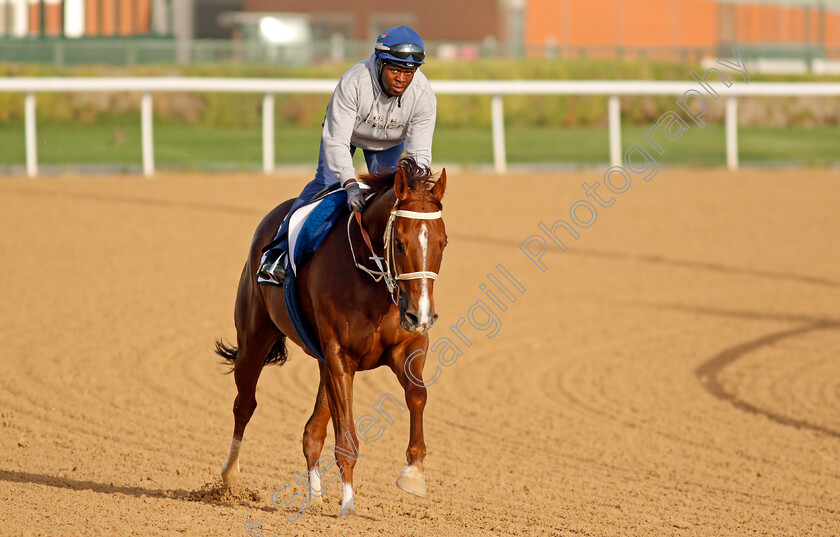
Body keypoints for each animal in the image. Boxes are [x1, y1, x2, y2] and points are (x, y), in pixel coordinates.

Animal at [217, 158, 450, 516]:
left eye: (443, 243)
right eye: (399, 243)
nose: (421, 315)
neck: (373, 281)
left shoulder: (406, 346)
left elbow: (417, 395)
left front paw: (413, 472)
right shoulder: (341, 356)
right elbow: (347, 436)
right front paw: (349, 503)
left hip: (321, 360)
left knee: (311, 431)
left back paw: (314, 497)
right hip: (254, 338)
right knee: (244, 404)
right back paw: (230, 475)